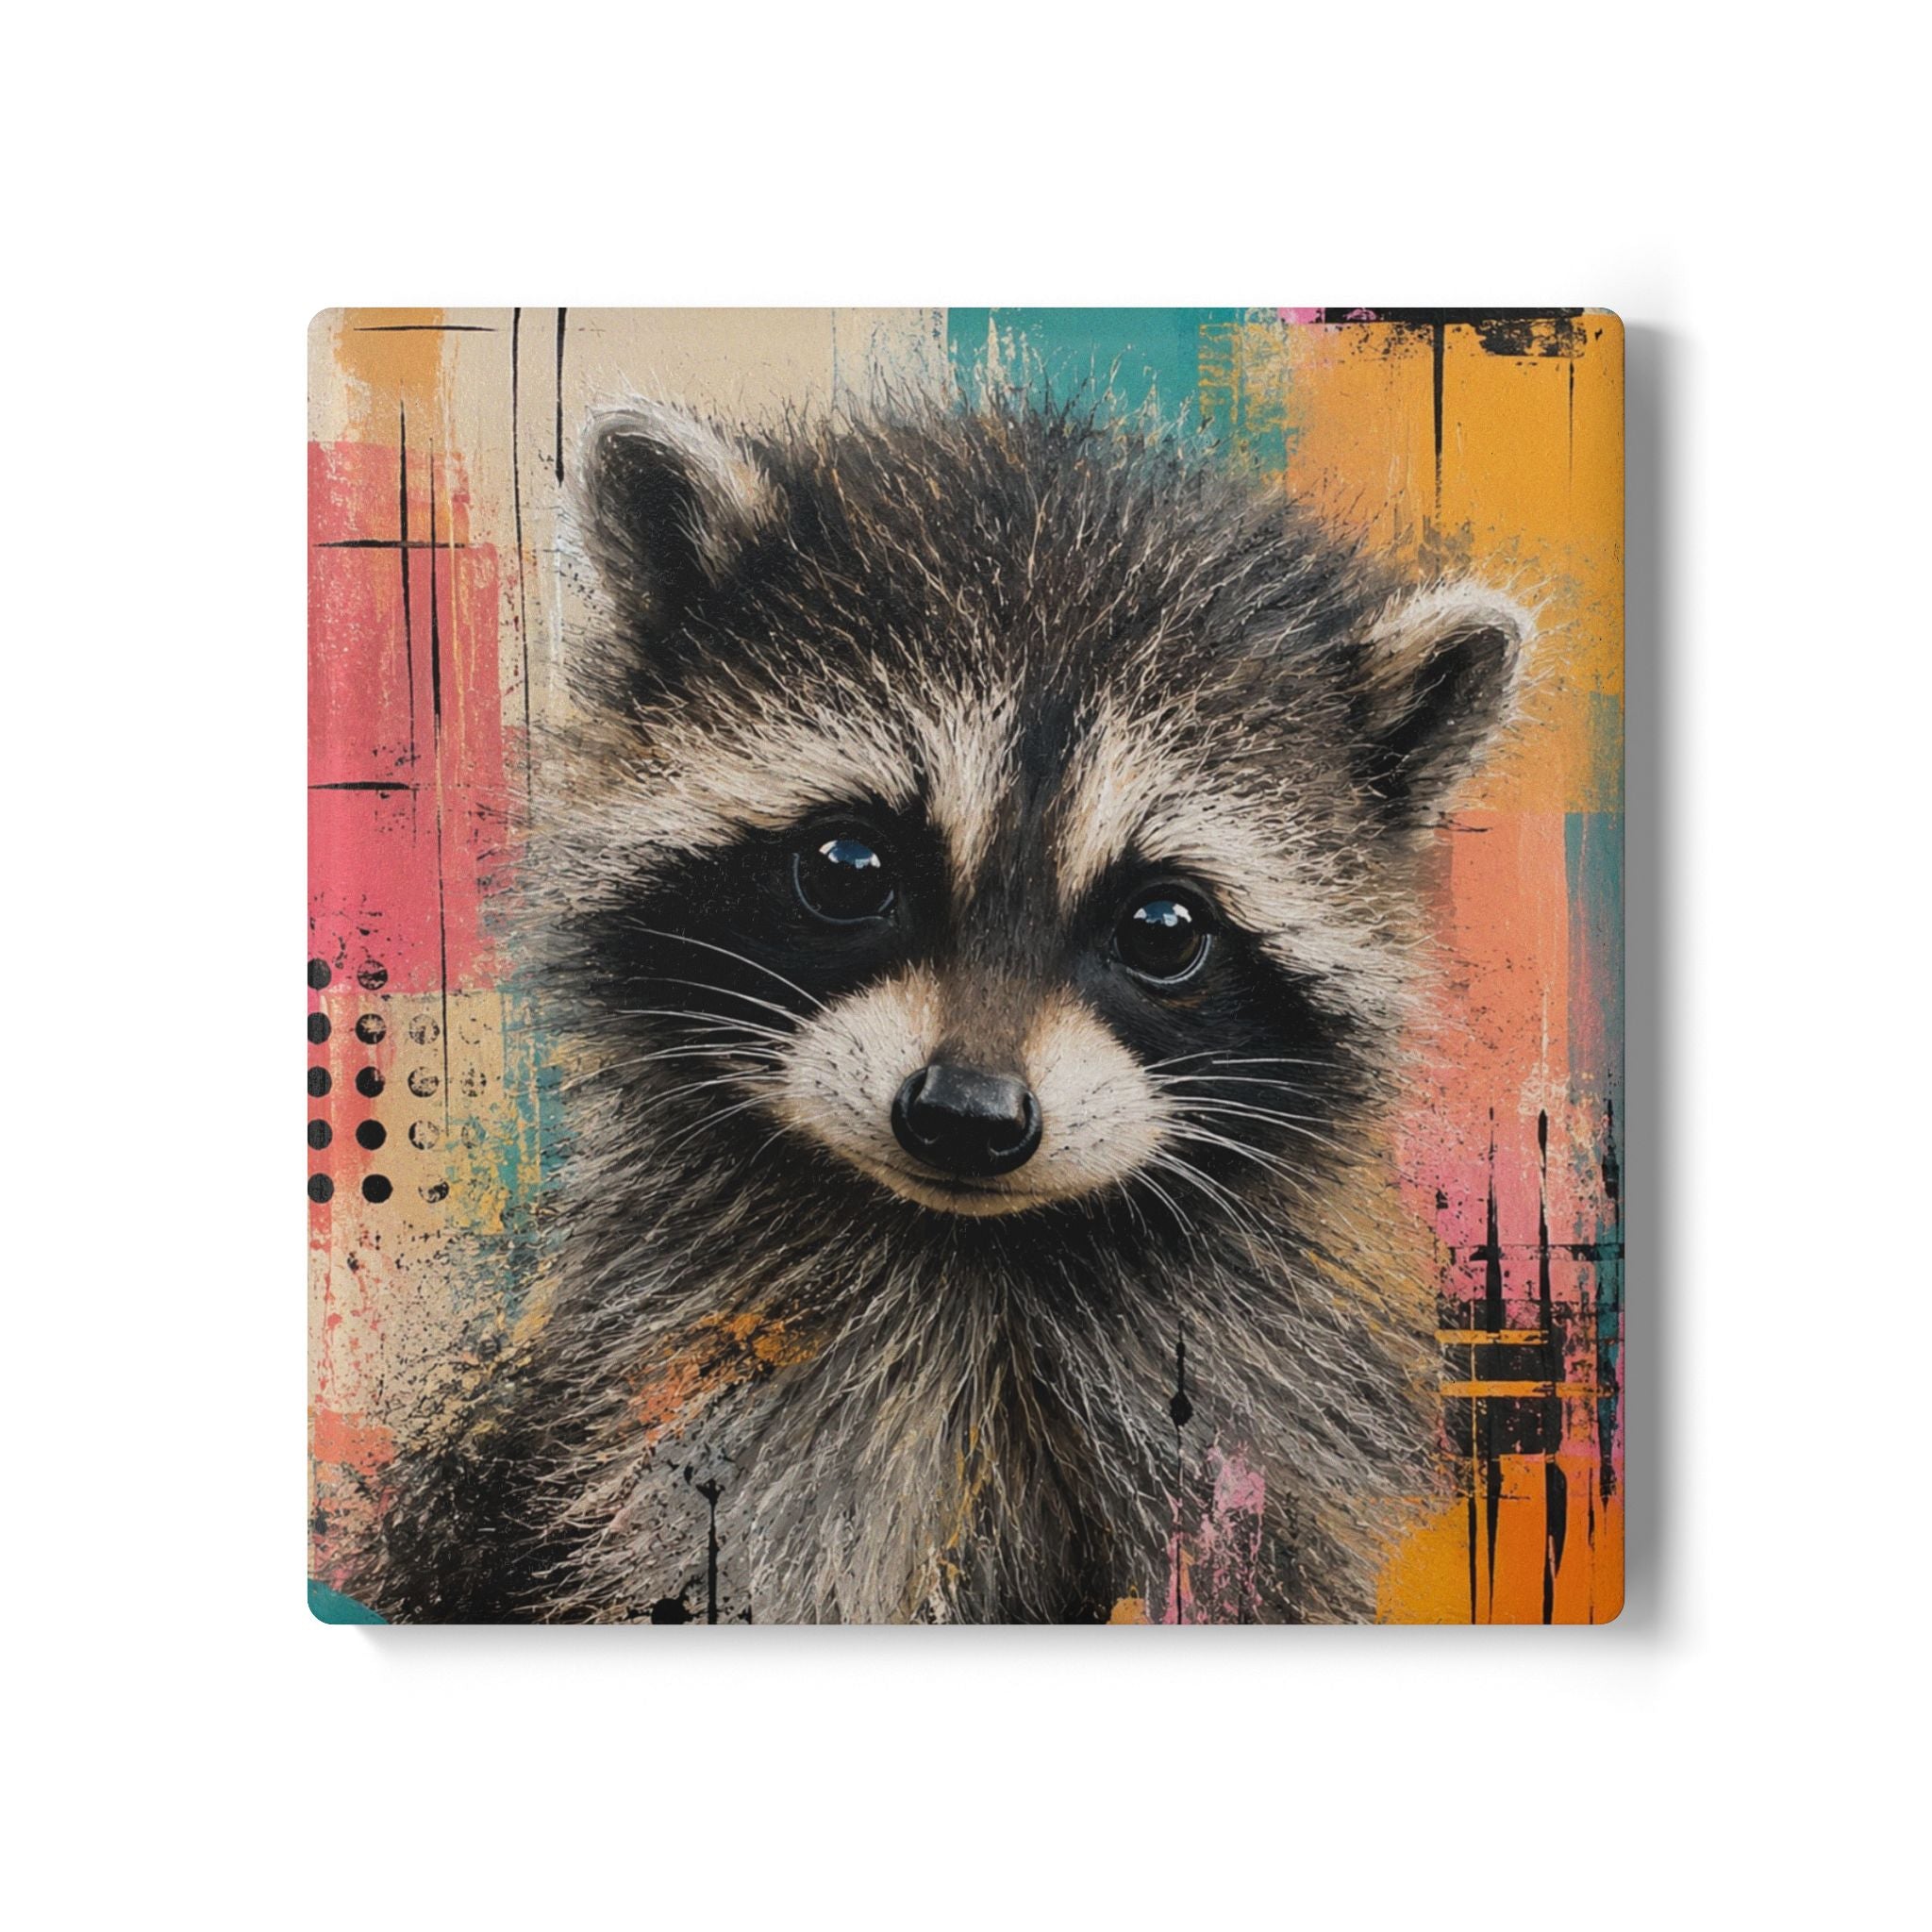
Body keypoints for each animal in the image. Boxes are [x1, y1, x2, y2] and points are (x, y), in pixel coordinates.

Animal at [362, 394, 1527, 1624]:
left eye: (1163, 926)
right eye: (846, 865)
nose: (966, 1115)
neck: (979, 1253)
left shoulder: (1257, 1434)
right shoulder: (717, 1425)